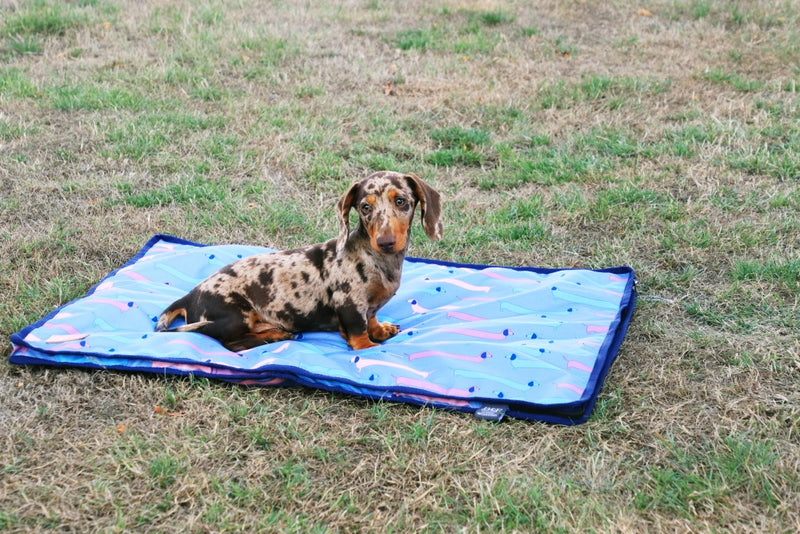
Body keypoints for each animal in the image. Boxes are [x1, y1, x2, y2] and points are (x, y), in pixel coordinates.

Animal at [156, 172, 444, 354]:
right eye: (365, 207)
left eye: (401, 201)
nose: (385, 242)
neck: (377, 260)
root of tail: (189, 297)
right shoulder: (350, 306)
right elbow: (359, 333)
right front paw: (370, 349)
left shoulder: (368, 306)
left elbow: (371, 320)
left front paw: (381, 330)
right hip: (235, 316)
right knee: (232, 343)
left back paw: (276, 333)